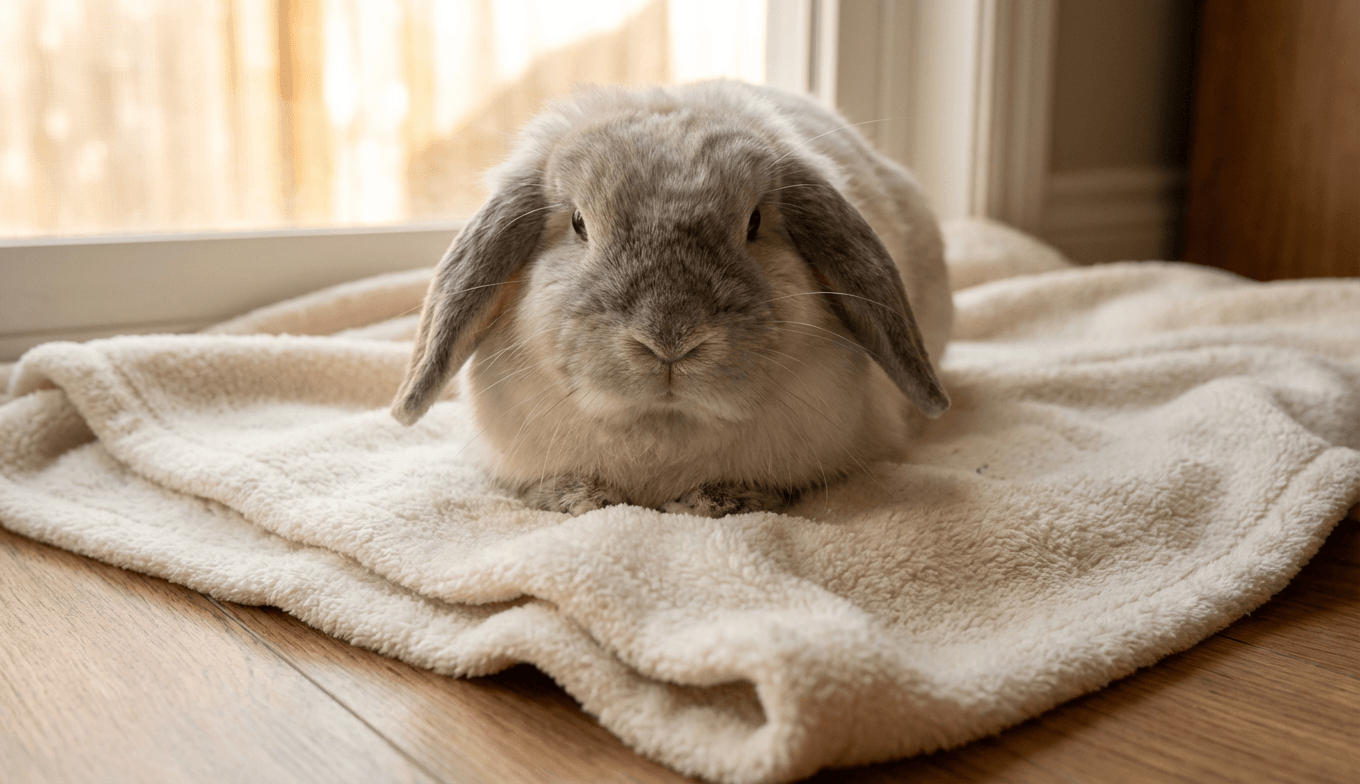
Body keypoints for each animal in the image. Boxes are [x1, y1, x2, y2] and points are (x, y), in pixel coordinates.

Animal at [391, 80, 952, 517]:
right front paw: (579, 497)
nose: (669, 341)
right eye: (578, 223)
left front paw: (717, 501)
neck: (661, 434)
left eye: (753, 223)